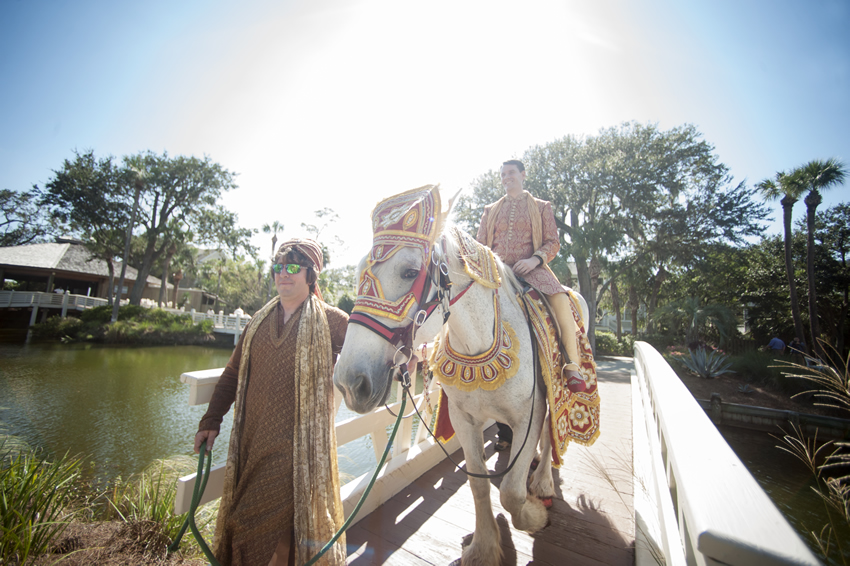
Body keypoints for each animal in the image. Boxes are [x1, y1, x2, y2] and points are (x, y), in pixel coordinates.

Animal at [334, 189, 588, 564]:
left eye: (410, 271)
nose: (350, 383)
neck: (479, 341)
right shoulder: (463, 417)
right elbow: (479, 484)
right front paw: (483, 548)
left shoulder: (530, 412)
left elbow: (511, 492)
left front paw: (533, 515)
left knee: (549, 432)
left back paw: (542, 482)